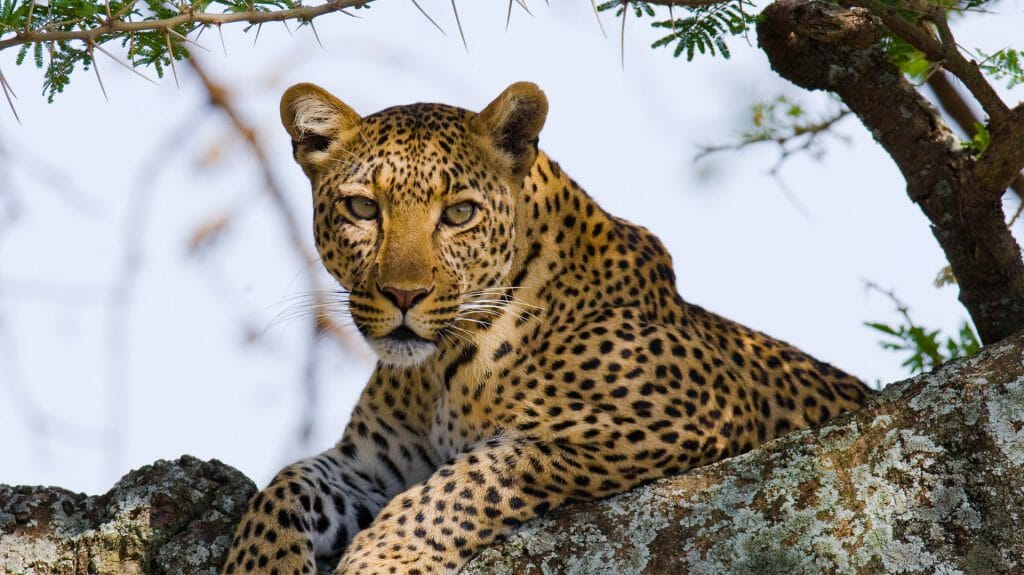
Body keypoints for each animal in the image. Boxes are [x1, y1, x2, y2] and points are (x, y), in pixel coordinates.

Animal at [221, 81, 873, 575]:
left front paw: (383, 559)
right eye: (362, 208)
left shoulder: (681, 417)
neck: (439, 370)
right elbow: (286, 484)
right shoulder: (372, 466)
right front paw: (260, 566)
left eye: (459, 213)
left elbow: (471, 477)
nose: (404, 295)